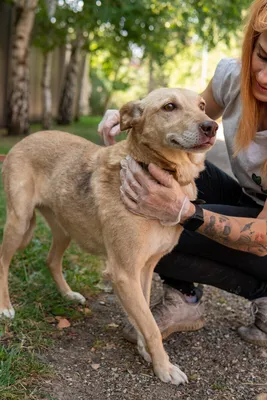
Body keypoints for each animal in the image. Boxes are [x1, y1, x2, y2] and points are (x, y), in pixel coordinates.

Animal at [0, 88, 218, 384]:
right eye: (169, 106)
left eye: (203, 105)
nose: (211, 126)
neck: (155, 171)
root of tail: (27, 138)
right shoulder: (124, 273)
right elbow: (150, 325)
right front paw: (163, 367)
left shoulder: (145, 269)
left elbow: (144, 316)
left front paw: (145, 352)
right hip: (20, 222)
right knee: (3, 262)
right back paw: (6, 307)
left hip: (66, 229)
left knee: (51, 260)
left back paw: (68, 294)